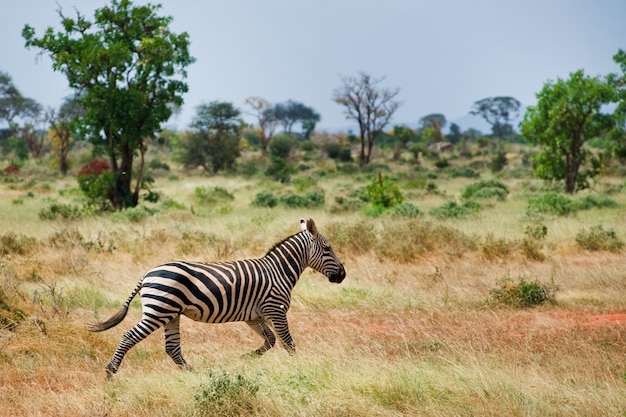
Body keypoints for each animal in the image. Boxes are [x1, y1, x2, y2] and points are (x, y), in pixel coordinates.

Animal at [87, 218, 344, 374]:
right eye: (328, 249)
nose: (342, 274)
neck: (278, 270)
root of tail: (147, 274)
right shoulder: (276, 310)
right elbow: (288, 342)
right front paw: (297, 368)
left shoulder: (255, 316)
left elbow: (271, 341)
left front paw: (246, 358)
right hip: (158, 311)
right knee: (129, 336)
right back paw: (110, 371)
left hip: (170, 314)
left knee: (172, 347)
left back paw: (192, 375)